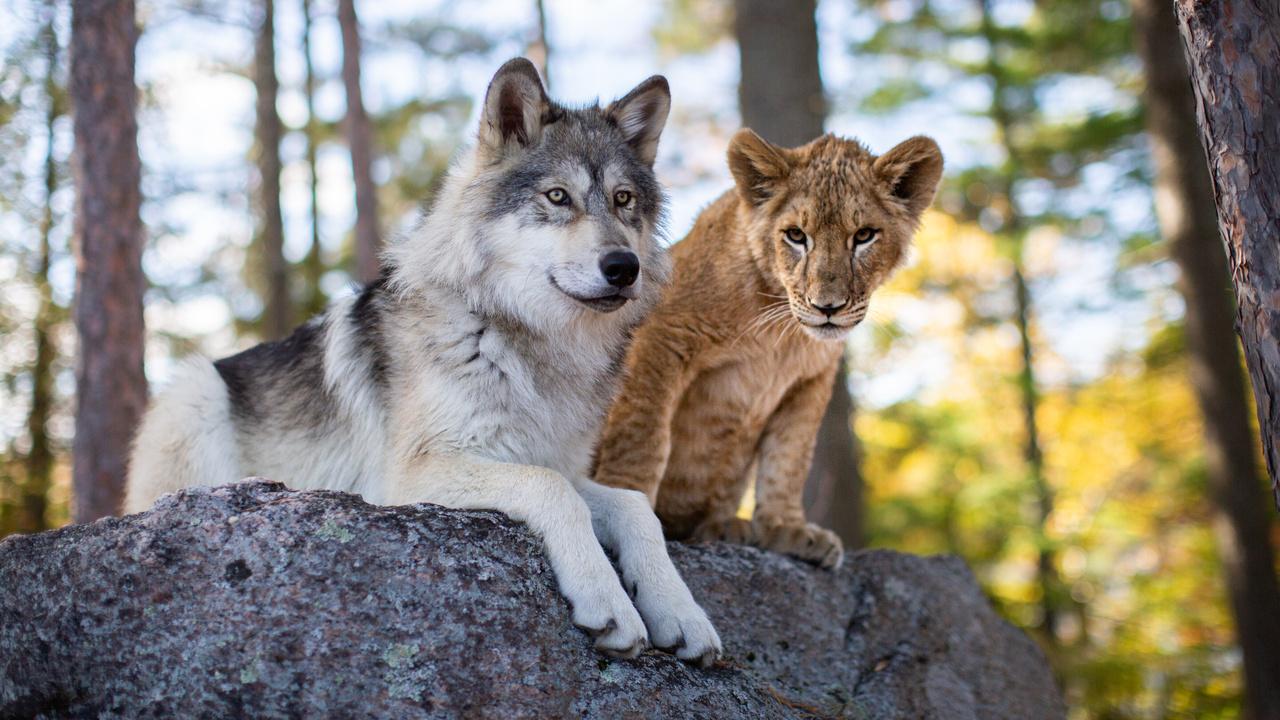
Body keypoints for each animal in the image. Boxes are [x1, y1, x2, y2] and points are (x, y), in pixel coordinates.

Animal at [124, 58, 727, 666]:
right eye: (558, 196)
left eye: (624, 200)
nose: (623, 267)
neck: (527, 342)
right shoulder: (411, 476)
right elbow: (551, 491)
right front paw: (609, 602)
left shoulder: (555, 461)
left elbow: (635, 507)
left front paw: (681, 613)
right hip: (194, 390)